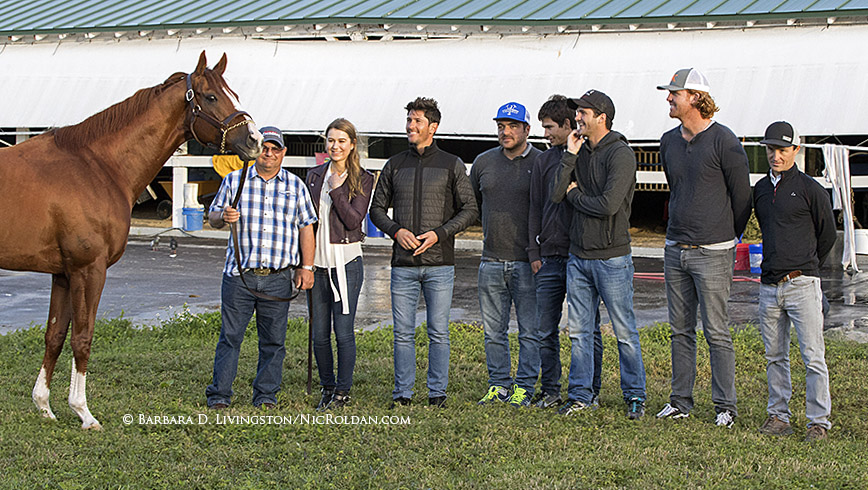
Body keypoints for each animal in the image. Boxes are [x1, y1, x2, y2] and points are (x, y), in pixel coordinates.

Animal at [0, 52, 262, 428]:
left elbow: (54, 336)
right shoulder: (88, 270)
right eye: (212, 97)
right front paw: (83, 412)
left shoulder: (63, 274)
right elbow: (82, 338)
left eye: (234, 95)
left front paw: (44, 406)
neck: (98, 166)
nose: (255, 140)